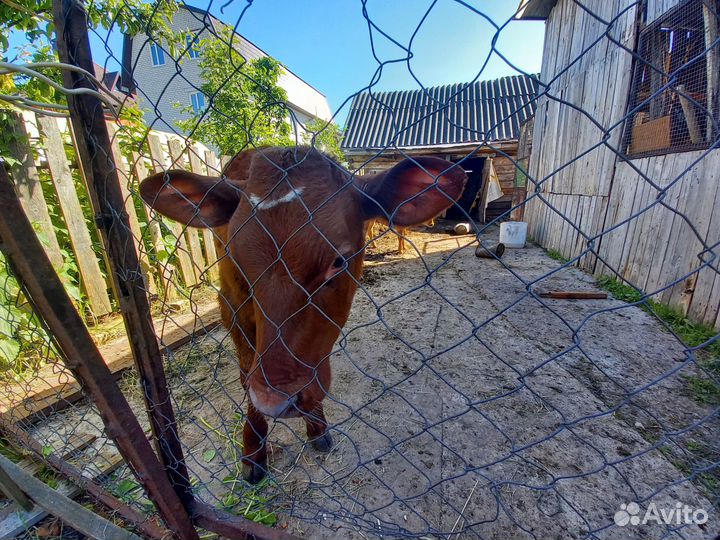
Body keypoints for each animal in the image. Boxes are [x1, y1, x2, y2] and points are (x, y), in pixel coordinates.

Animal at [141, 146, 466, 484]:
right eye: (238, 257)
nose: (274, 401)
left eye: (338, 261)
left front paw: (316, 425)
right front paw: (253, 449)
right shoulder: (231, 304)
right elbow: (247, 373)